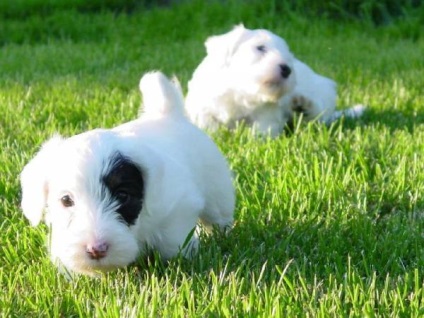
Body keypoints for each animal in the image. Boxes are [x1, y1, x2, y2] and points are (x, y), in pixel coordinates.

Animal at [20, 72, 235, 276]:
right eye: (66, 200)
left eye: (123, 195)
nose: (96, 249)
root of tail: (168, 114)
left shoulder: (178, 209)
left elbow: (173, 241)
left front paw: (182, 259)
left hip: (217, 192)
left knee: (218, 217)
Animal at [186, 25, 364, 137]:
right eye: (260, 47)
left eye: (289, 55)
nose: (287, 69)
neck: (241, 93)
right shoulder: (201, 107)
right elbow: (208, 124)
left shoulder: (268, 114)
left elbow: (262, 130)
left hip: (323, 95)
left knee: (317, 116)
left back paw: (303, 107)